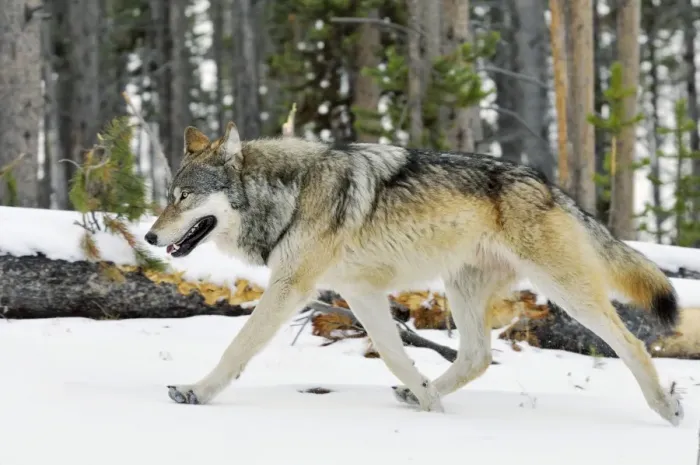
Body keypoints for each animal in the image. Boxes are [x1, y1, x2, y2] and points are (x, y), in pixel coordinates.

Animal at [145, 121, 684, 426]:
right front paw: (429, 405)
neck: (290, 194)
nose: (149, 237)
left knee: (632, 344)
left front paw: (195, 392)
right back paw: (421, 394)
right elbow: (394, 356)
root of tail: (551, 187)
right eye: (169, 196)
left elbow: (237, 348)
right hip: (462, 289)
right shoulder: (360, 294)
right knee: (477, 357)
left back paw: (667, 407)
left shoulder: (291, 288)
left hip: (566, 291)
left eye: (183, 197)